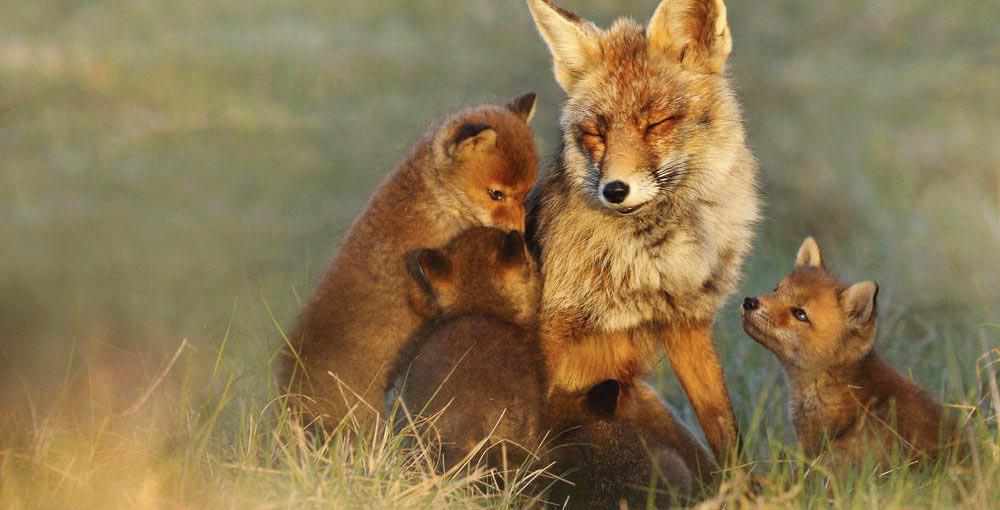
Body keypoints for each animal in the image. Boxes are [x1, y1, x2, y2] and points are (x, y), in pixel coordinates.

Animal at [524, 0, 756, 464]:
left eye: (656, 124)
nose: (614, 190)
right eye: (595, 133)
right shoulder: (552, 332)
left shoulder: (686, 322)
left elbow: (724, 429)